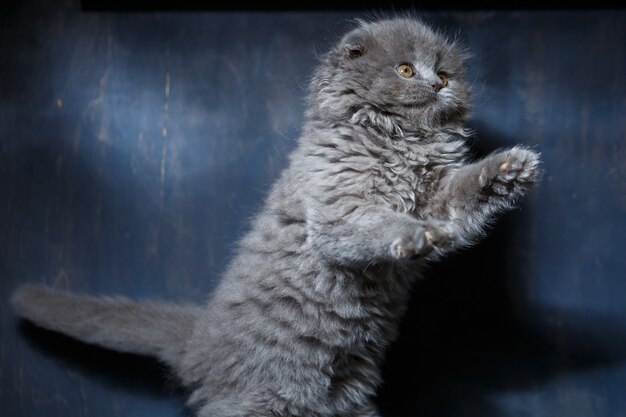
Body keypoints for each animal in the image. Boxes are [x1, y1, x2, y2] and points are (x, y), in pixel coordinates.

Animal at [11, 17, 536, 416]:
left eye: (444, 73)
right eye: (406, 69)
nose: (436, 83)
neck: (400, 141)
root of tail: (196, 342)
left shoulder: (439, 196)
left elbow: (463, 194)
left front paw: (508, 168)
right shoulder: (338, 208)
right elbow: (379, 224)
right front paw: (415, 235)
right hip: (259, 404)